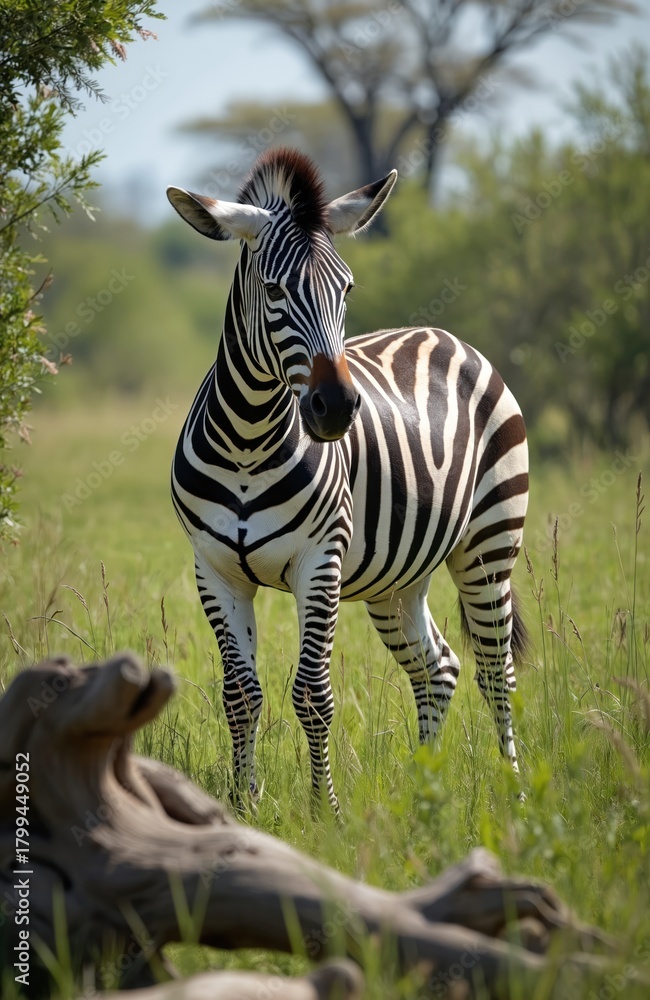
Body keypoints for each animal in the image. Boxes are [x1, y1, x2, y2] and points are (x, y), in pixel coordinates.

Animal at [166, 148, 529, 810]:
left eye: (347, 288)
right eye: (274, 290)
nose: (335, 408)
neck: (248, 439)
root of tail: (441, 333)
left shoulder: (320, 562)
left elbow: (312, 693)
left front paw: (323, 811)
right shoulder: (215, 568)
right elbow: (240, 695)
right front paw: (242, 804)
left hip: (491, 542)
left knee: (495, 670)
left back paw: (516, 793)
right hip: (397, 577)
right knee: (439, 666)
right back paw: (424, 793)